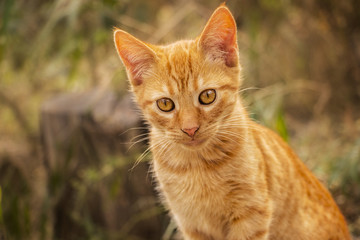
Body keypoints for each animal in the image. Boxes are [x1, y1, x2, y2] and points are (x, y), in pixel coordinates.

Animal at [114, 4, 350, 240]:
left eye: (208, 96)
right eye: (165, 104)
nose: (190, 129)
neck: (197, 167)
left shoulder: (252, 215)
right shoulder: (191, 224)